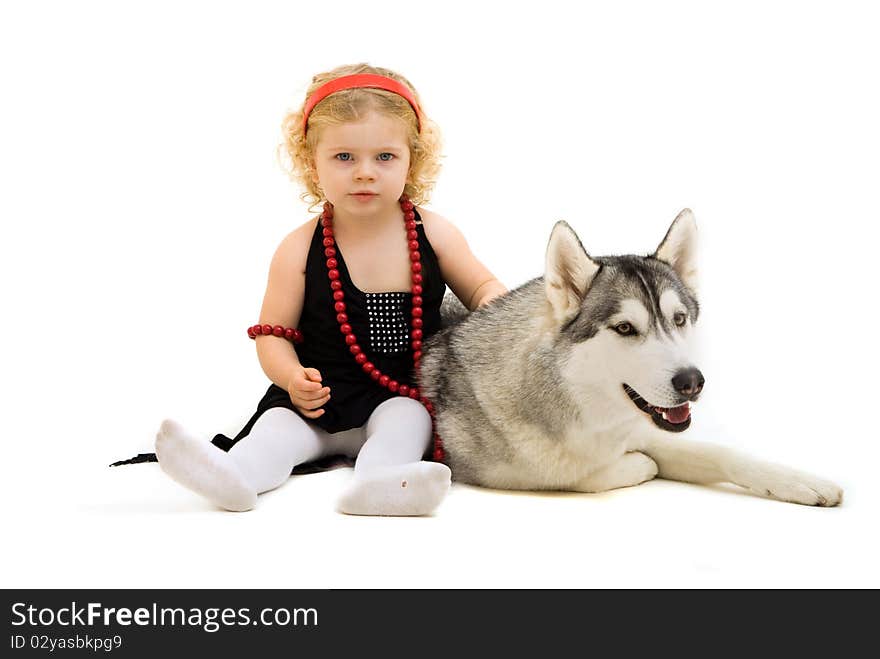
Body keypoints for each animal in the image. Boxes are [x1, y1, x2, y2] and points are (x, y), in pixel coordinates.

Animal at [422, 209, 844, 508]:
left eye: (679, 319)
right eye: (625, 328)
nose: (691, 381)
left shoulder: (651, 427)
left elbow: (720, 452)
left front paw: (801, 481)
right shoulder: (509, 472)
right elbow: (584, 472)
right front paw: (640, 464)